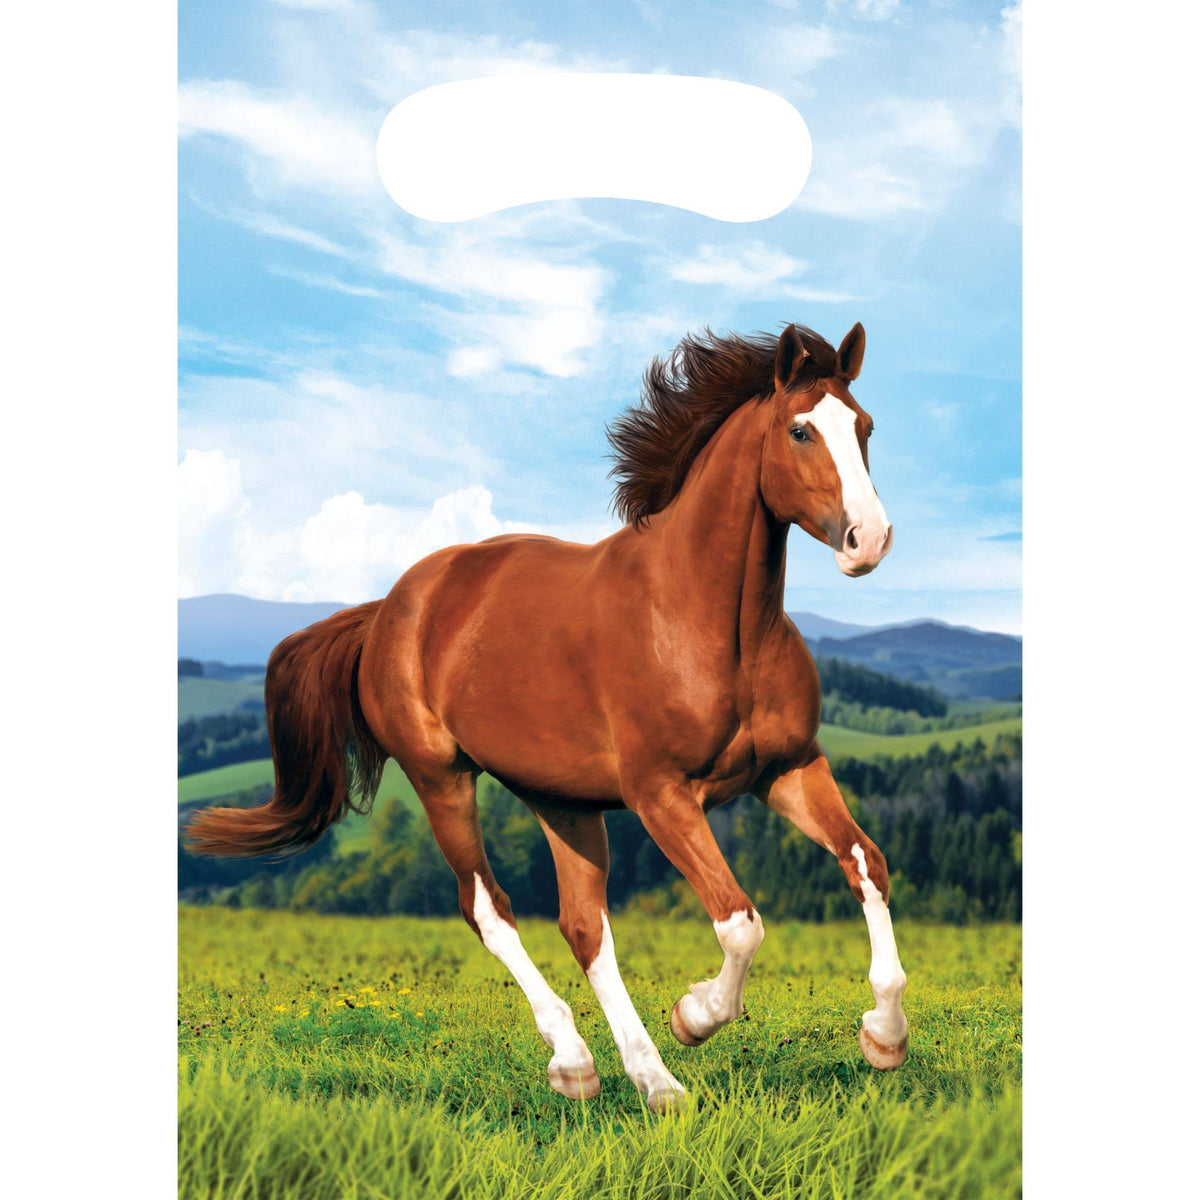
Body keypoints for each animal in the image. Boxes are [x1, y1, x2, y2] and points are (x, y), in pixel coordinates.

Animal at [188, 321, 909, 1112]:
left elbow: (867, 863)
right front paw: (694, 1015)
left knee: (584, 927)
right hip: (440, 778)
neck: (703, 618)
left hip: (562, 799)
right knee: (489, 909)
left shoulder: (788, 768)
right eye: (800, 430)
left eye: (866, 426)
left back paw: (649, 1080)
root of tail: (389, 610)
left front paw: (884, 1037)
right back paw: (581, 1063)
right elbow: (739, 922)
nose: (868, 540)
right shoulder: (660, 795)